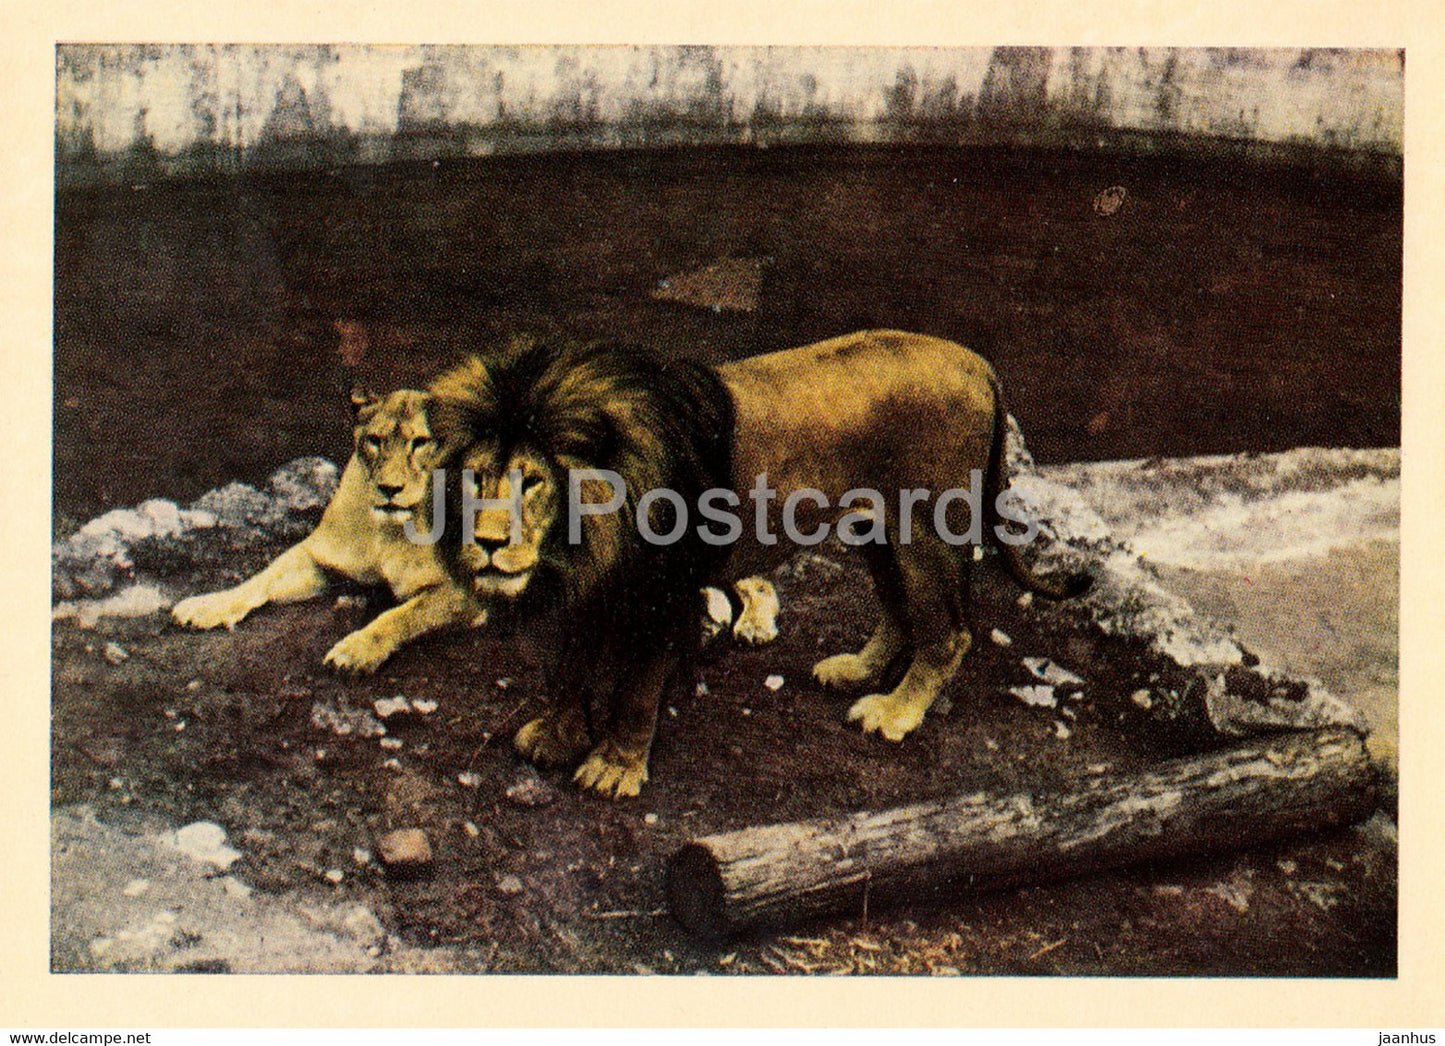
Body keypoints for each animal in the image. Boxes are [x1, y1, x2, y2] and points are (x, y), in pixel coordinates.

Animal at [427, 330, 1087, 799]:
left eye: (532, 481)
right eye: (476, 477)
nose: (486, 542)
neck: (588, 536)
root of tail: (979, 364)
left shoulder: (666, 595)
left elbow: (636, 692)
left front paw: (614, 768)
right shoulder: (592, 592)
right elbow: (569, 669)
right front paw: (556, 737)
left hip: (925, 531)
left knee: (949, 634)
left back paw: (894, 713)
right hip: (877, 530)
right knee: (900, 614)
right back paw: (854, 670)